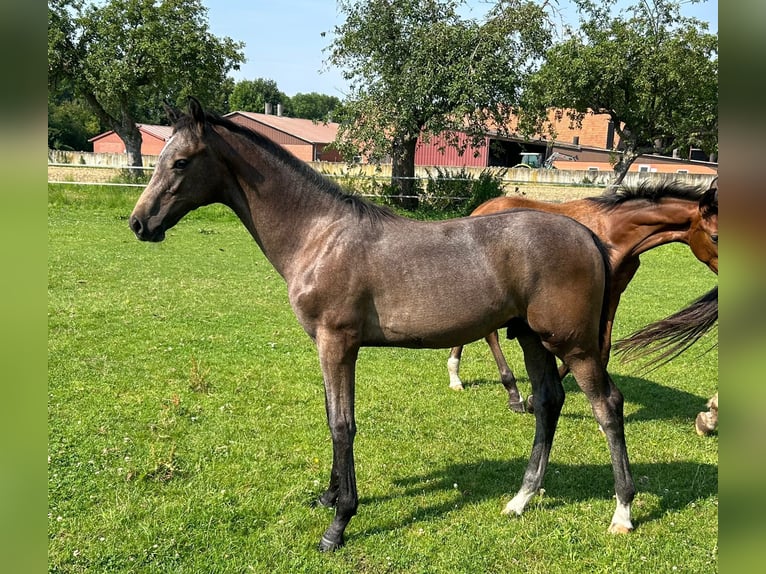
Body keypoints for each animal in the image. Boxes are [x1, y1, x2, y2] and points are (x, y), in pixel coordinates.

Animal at [132, 99, 636, 552]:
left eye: (180, 161)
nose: (140, 224)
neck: (320, 234)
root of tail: (587, 235)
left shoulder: (337, 343)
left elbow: (342, 425)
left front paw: (339, 523)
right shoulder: (328, 347)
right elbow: (331, 417)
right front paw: (329, 496)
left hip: (573, 345)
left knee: (607, 405)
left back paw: (623, 512)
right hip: (533, 338)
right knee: (549, 402)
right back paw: (521, 499)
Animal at [448, 180, 716, 414]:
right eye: (715, 236)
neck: (613, 232)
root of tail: (480, 209)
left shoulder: (613, 294)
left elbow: (603, 347)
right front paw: (534, 400)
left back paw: (455, 375)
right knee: (490, 335)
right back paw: (512, 393)